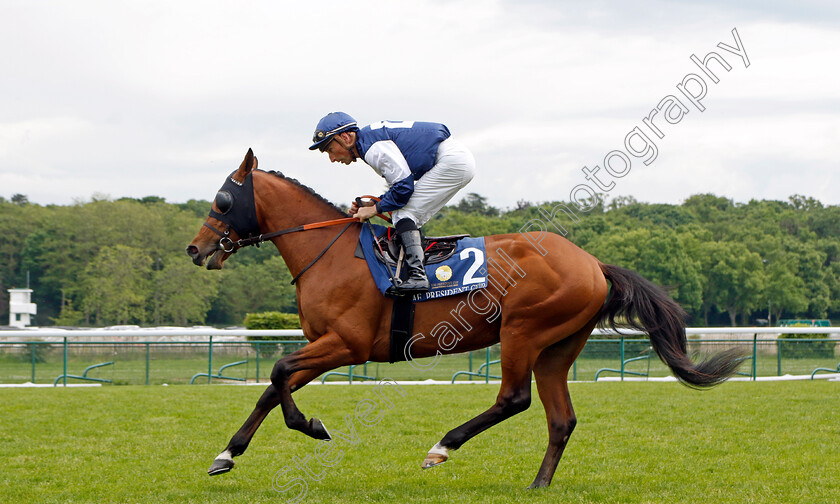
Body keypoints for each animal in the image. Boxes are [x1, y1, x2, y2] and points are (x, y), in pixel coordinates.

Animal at [187, 149, 744, 488]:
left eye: (223, 199)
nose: (196, 249)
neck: (329, 253)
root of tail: (593, 263)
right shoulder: (324, 344)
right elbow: (272, 386)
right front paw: (227, 454)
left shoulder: (347, 343)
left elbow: (279, 372)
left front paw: (312, 426)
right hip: (557, 348)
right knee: (560, 418)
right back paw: (539, 484)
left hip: (523, 331)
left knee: (514, 399)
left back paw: (442, 446)